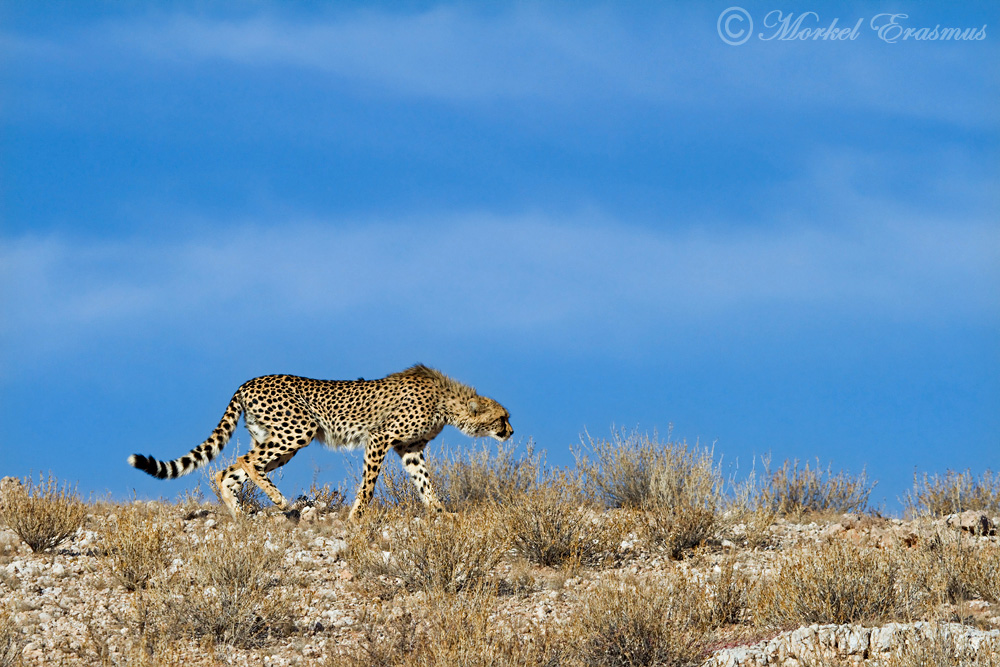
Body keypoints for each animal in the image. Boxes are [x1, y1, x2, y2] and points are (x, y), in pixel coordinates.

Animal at [127, 365, 512, 520]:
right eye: (502, 418)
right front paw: (357, 516)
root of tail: (247, 382)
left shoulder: (410, 449)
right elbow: (369, 484)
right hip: (299, 430)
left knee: (228, 470)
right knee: (248, 462)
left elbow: (425, 484)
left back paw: (238, 514)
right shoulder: (380, 437)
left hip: (277, 438)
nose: (511, 432)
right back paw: (280, 501)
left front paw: (440, 512)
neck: (447, 401)